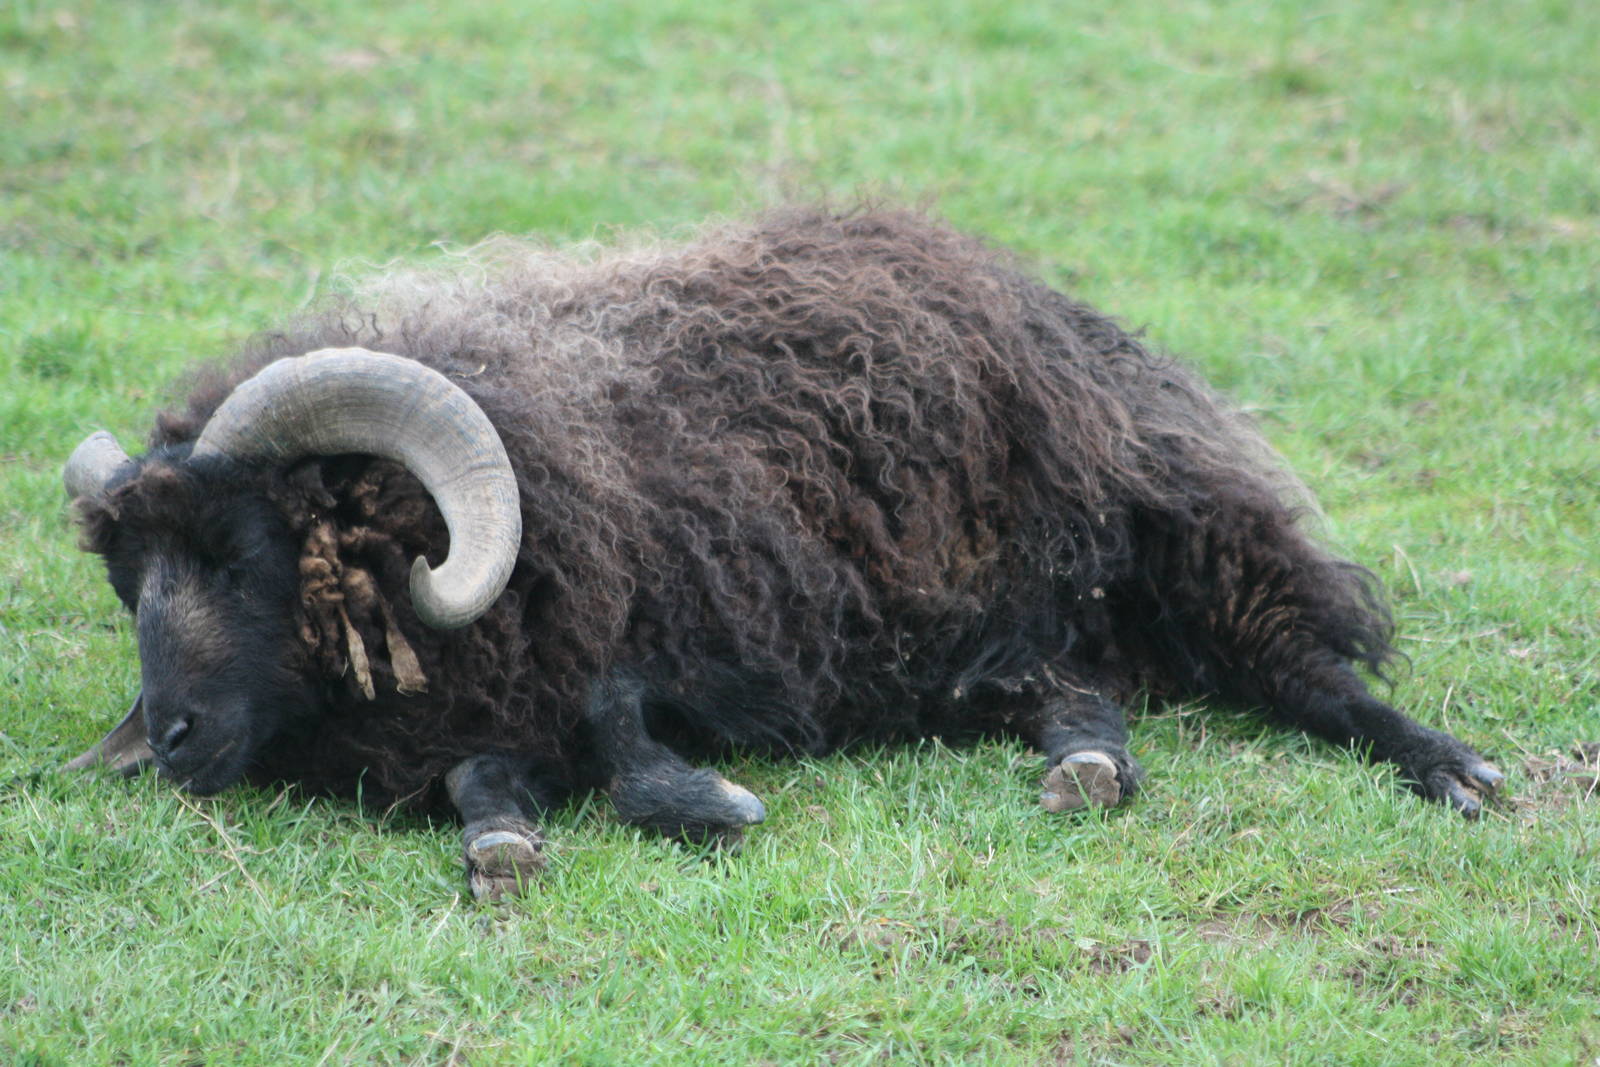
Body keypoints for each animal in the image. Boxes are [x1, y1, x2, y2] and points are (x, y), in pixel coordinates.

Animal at [63, 207, 1503, 899]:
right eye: (131, 582)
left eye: (242, 554)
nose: (169, 742)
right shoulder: (504, 696)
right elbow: (485, 773)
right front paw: (507, 840)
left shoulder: (648, 641)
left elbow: (625, 752)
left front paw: (705, 800)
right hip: (1005, 641)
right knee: (1078, 692)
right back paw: (1084, 766)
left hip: (1190, 545)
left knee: (1307, 670)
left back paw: (1458, 768)